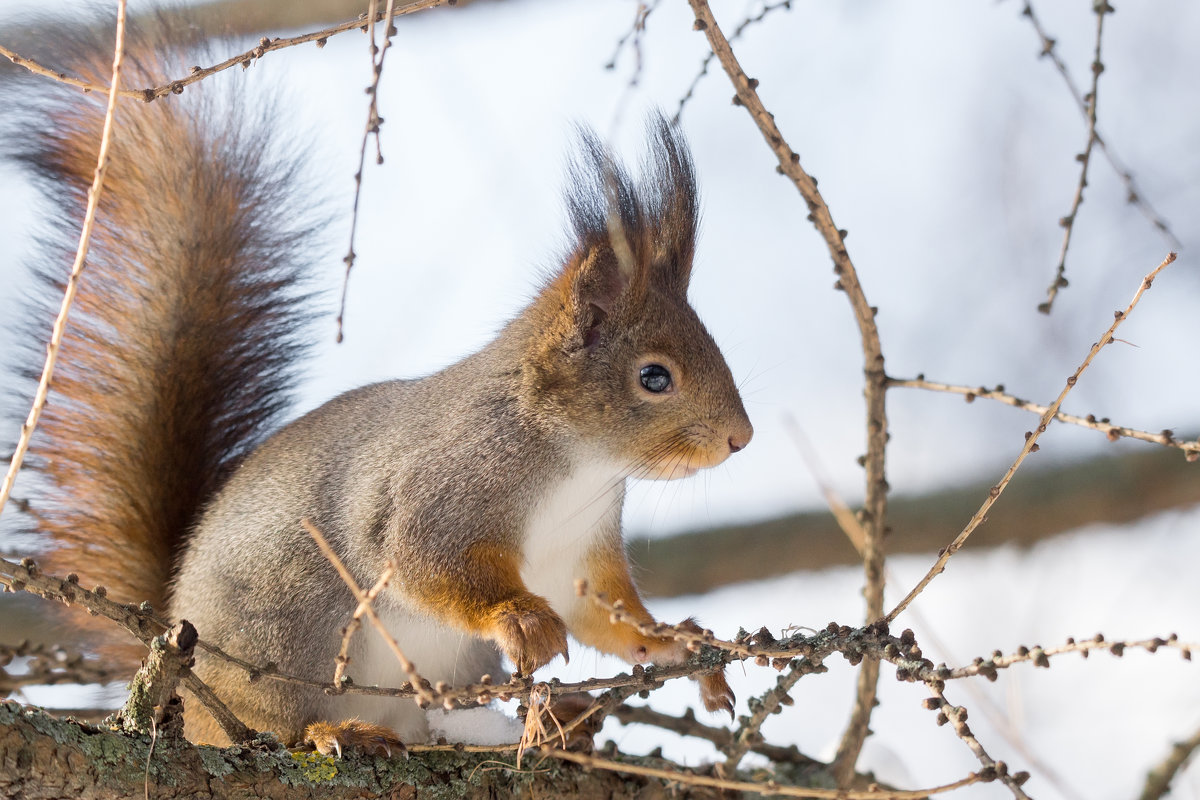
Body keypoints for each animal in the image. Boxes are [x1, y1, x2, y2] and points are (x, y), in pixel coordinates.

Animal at [9, 21, 748, 753]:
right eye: (654, 377)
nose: (741, 439)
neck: (577, 464)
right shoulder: (443, 488)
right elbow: (422, 561)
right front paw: (520, 619)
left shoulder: (578, 561)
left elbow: (610, 618)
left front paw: (680, 643)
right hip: (283, 635)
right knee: (276, 723)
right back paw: (341, 729)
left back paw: (541, 725)